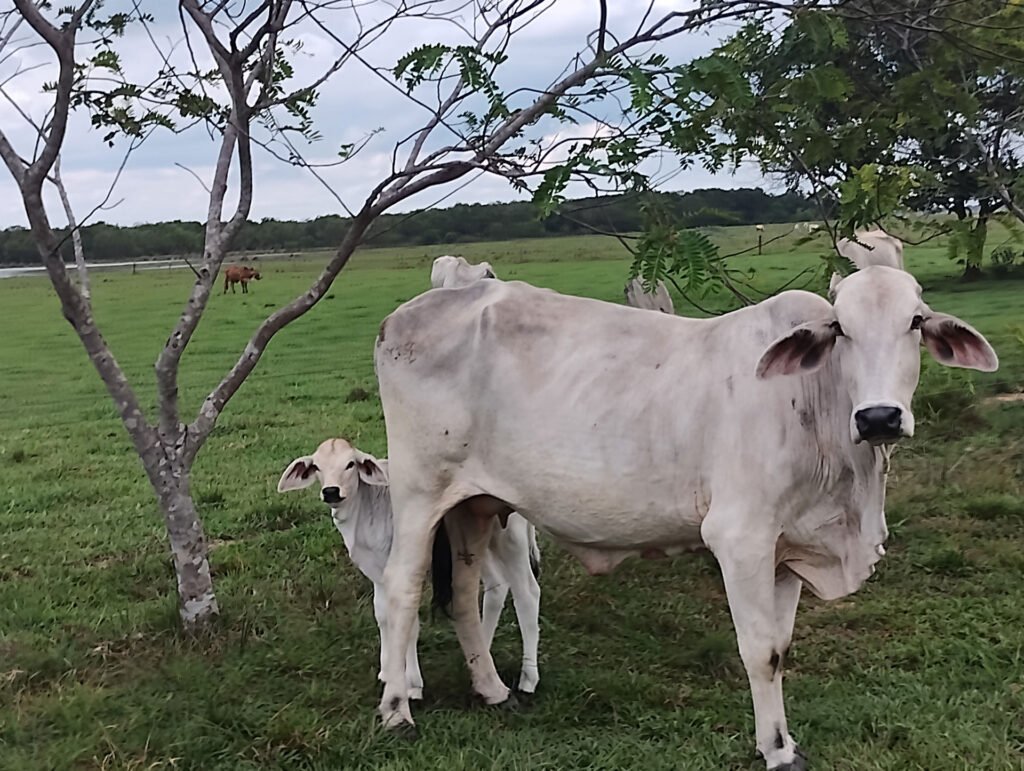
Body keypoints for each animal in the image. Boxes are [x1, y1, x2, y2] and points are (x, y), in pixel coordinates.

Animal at [274, 436, 544, 696]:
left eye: (350, 464)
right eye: (317, 466)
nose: (331, 491)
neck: (368, 506)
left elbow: (409, 623)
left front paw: (412, 684)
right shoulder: (376, 572)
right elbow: (383, 615)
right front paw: (387, 671)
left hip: (511, 537)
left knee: (527, 594)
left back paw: (528, 678)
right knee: (496, 587)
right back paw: (482, 654)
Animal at [372, 264, 995, 765]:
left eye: (916, 321)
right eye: (840, 327)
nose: (879, 417)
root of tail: (399, 319)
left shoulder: (786, 547)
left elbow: (781, 645)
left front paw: (783, 740)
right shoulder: (740, 538)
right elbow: (760, 652)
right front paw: (776, 751)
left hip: (473, 506)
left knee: (461, 596)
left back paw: (494, 690)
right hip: (419, 492)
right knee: (400, 588)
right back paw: (397, 710)